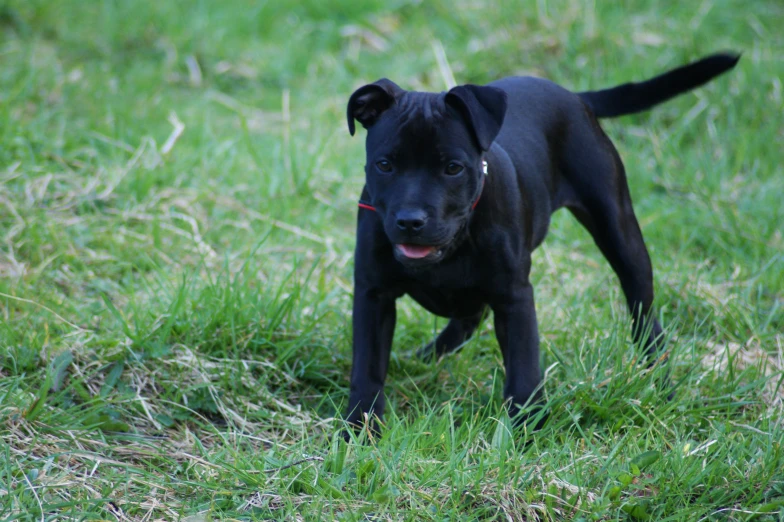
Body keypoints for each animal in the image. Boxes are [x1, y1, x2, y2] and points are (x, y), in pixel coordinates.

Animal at [342, 52, 736, 434]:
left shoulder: (514, 297)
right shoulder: (373, 295)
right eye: (384, 165)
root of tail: (573, 96)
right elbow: (367, 367)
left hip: (621, 233)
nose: (410, 221)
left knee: (644, 317)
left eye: (453, 168)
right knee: (468, 315)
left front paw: (526, 429)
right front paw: (359, 427)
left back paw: (660, 382)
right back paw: (428, 357)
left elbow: (523, 369)